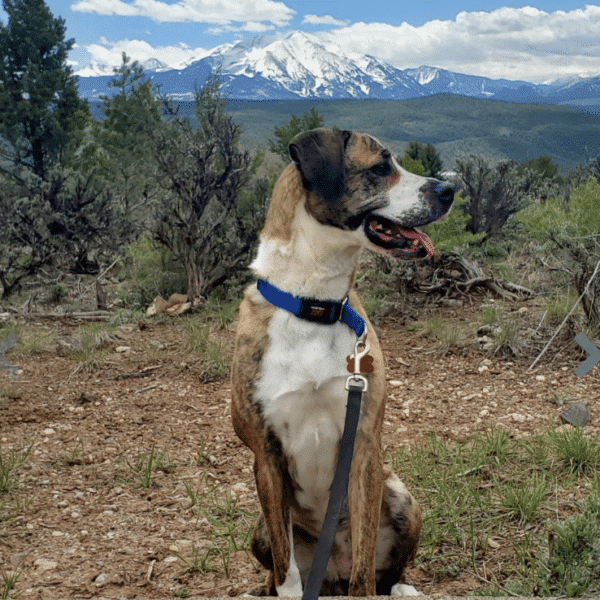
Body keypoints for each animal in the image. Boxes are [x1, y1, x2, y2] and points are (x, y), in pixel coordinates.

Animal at [231, 127, 454, 596]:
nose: (449, 190)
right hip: (258, 529)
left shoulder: (365, 444)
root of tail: (330, 567)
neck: (316, 304)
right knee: (274, 565)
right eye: (381, 167)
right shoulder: (265, 456)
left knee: (384, 572)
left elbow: (366, 573)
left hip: (401, 496)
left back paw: (401, 589)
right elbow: (285, 569)